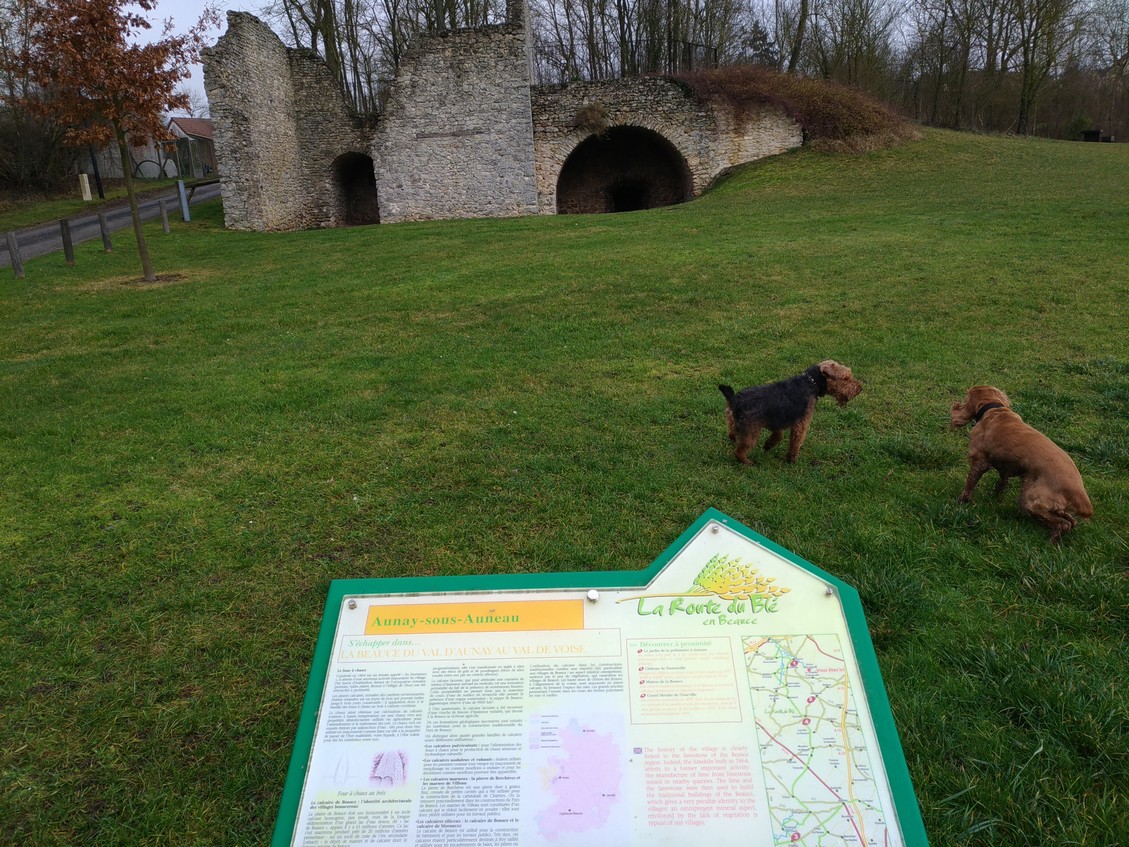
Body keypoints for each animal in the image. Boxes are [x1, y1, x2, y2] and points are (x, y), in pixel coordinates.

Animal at [722, 359, 862, 465]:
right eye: (845, 378)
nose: (860, 388)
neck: (811, 383)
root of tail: (734, 400)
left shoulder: (777, 420)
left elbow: (778, 436)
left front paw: (768, 445)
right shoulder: (801, 424)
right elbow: (795, 443)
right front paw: (791, 459)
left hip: (732, 421)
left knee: (731, 434)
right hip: (751, 433)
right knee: (738, 452)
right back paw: (748, 462)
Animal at [948, 386, 1088, 544]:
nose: (955, 406)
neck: (994, 410)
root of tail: (1077, 489)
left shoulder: (979, 461)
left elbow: (970, 484)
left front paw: (962, 501)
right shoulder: (1005, 466)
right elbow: (1002, 482)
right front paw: (996, 496)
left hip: (1030, 501)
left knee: (1063, 524)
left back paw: (1050, 541)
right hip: (1053, 505)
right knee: (1071, 521)